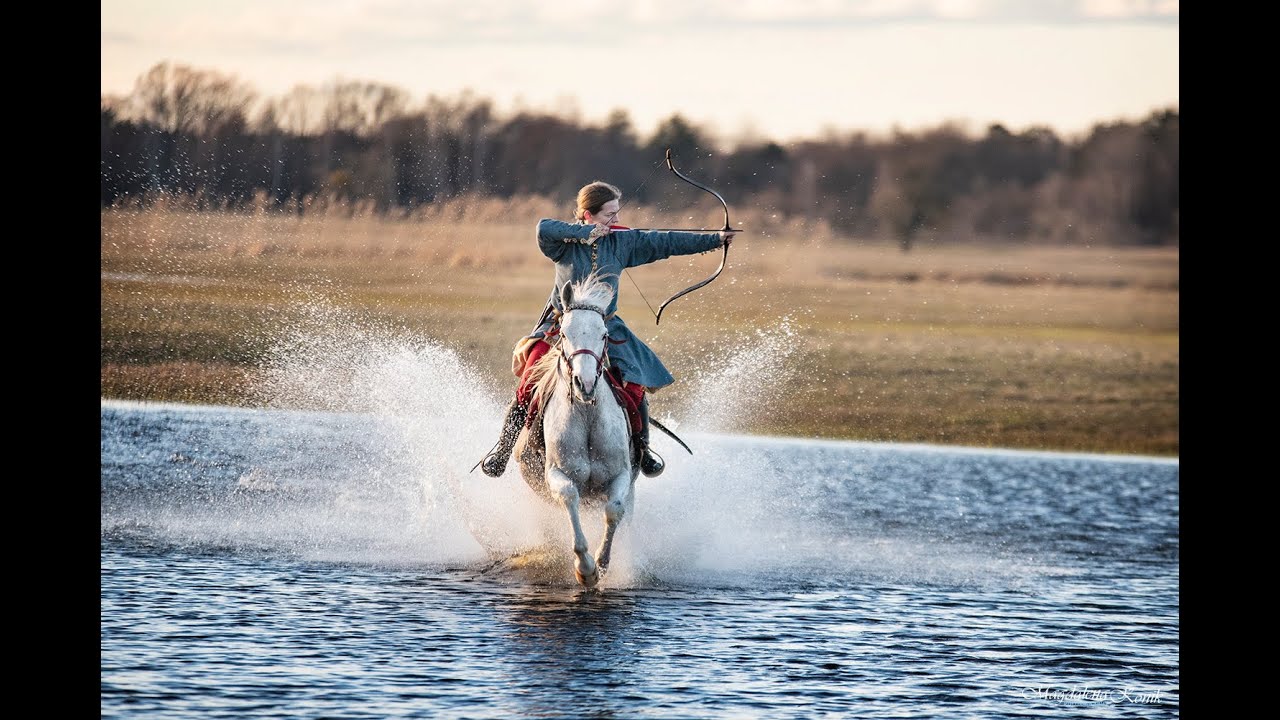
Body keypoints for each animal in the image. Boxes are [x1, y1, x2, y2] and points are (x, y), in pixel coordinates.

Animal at [512, 272, 639, 587]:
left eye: (604, 334)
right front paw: (586, 568)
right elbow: (570, 498)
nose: (586, 383)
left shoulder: (621, 476)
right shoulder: (557, 475)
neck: (587, 414)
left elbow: (614, 510)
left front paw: (602, 564)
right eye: (565, 334)